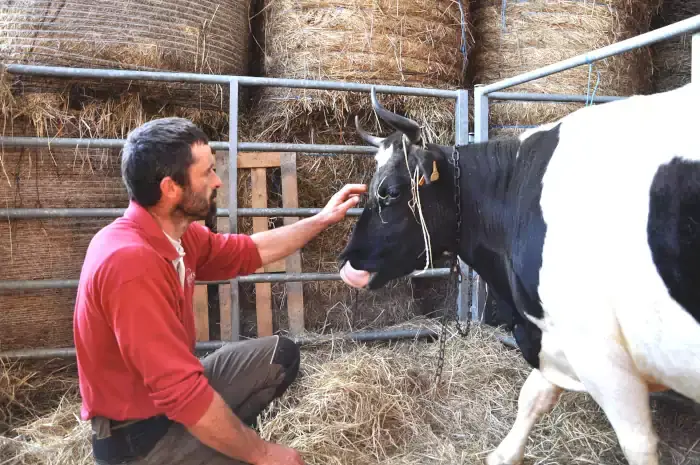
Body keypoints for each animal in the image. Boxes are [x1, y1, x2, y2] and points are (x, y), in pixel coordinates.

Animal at [338, 85, 700, 462]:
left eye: (392, 192)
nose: (347, 262)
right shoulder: (554, 336)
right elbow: (532, 397)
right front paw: (504, 453)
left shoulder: (599, 351)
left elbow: (638, 443)